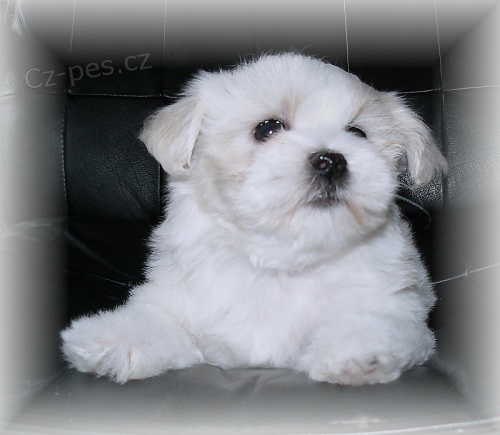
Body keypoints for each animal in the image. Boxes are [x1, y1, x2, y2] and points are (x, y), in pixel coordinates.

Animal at [61, 53, 447, 385]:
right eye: (267, 129)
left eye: (358, 133)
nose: (331, 161)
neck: (282, 262)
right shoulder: (184, 302)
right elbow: (161, 320)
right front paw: (108, 337)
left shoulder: (403, 312)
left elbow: (382, 323)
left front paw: (357, 347)